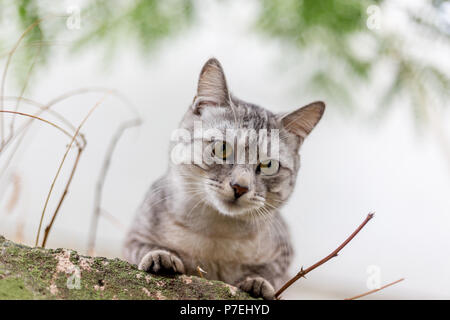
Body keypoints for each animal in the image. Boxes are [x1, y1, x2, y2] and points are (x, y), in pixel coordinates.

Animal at [125, 58, 326, 300]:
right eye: (222, 148)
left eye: (268, 165)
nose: (240, 187)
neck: (217, 235)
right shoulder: (135, 235)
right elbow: (144, 248)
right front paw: (160, 256)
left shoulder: (283, 255)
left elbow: (271, 274)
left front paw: (258, 282)